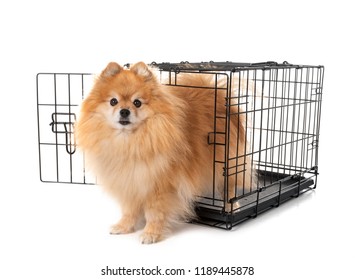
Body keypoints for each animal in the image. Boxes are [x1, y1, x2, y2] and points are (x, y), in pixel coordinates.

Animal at [76, 61, 254, 243]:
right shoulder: (129, 182)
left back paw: (232, 206)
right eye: (113, 101)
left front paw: (151, 233)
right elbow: (129, 209)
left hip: (227, 164)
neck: (129, 142)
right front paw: (124, 226)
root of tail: (216, 94)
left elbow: (154, 213)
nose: (124, 111)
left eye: (137, 103)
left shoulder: (159, 186)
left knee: (229, 188)